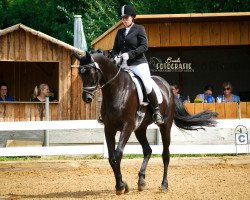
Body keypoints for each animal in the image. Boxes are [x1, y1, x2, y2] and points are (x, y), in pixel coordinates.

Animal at [73, 50, 217, 195]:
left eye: (91, 72)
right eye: (80, 73)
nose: (87, 98)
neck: (116, 90)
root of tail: (168, 88)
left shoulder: (127, 127)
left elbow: (118, 154)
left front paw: (120, 186)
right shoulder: (109, 128)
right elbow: (111, 157)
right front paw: (123, 184)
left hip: (165, 126)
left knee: (165, 154)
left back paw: (164, 185)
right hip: (140, 129)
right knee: (148, 150)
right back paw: (141, 181)